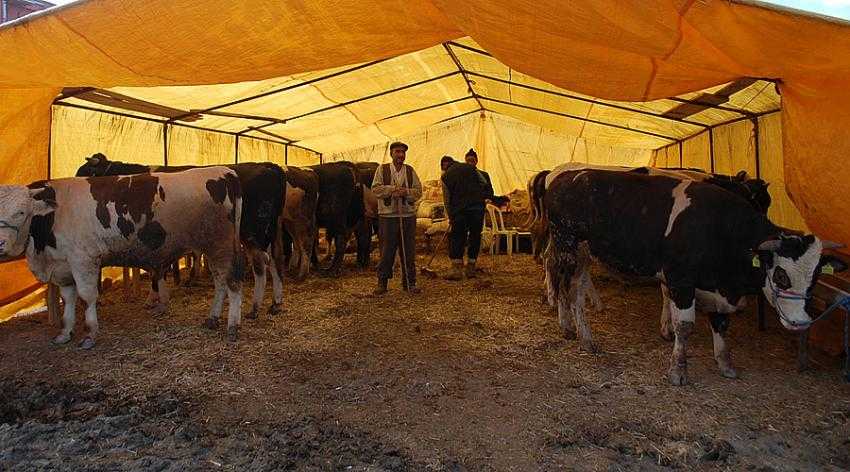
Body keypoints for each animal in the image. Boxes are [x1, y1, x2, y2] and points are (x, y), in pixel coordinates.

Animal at [0, 167, 245, 349]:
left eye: (21, 212)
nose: (0, 243)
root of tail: (225, 172)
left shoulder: (84, 260)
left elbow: (87, 297)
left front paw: (90, 334)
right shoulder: (63, 265)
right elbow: (68, 299)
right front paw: (65, 332)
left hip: (221, 247)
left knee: (231, 284)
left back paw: (232, 326)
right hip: (213, 250)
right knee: (220, 282)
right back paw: (212, 319)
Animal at [76, 154, 286, 319]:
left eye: (83, 173)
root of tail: (269, 166)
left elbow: (155, 269)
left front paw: (153, 299)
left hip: (252, 233)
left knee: (261, 264)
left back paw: (255, 308)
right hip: (266, 234)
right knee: (274, 261)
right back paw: (275, 303)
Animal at [543, 169, 846, 385]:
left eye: (815, 277)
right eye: (782, 276)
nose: (801, 322)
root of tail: (565, 175)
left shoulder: (718, 289)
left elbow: (721, 324)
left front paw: (725, 364)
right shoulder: (680, 280)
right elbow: (685, 326)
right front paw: (678, 370)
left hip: (584, 255)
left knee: (576, 290)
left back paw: (580, 334)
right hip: (567, 247)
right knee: (564, 286)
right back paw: (574, 331)